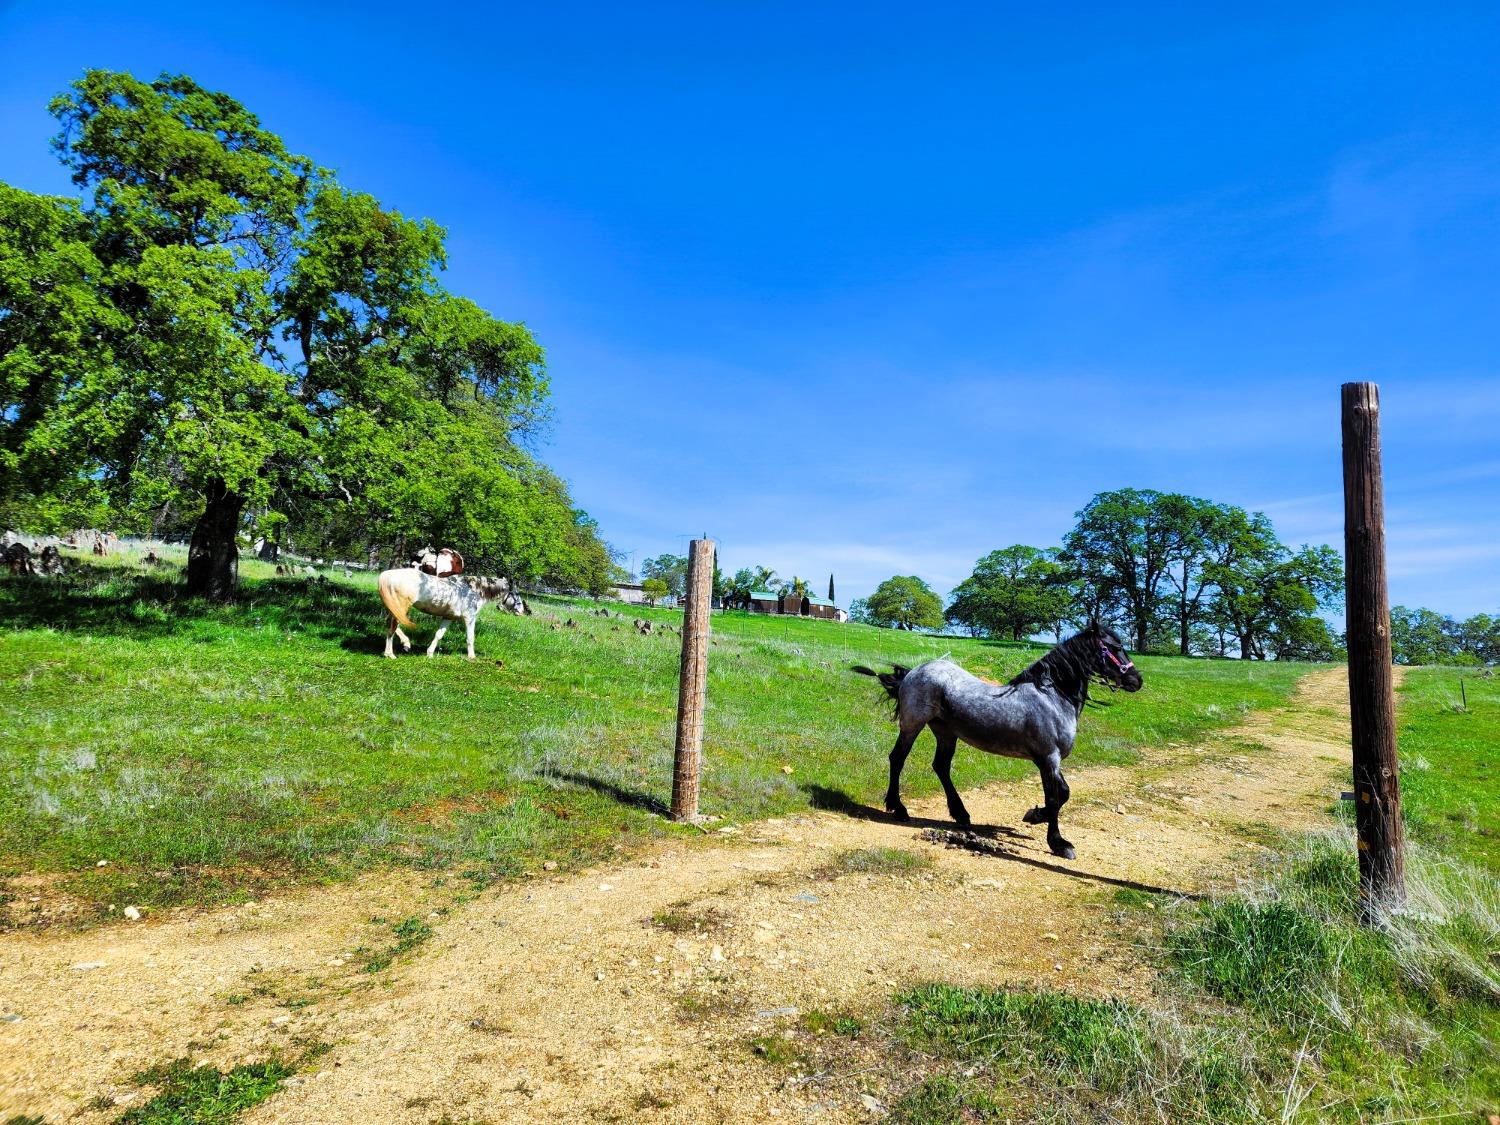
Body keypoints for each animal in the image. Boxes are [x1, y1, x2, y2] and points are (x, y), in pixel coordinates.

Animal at [378, 567, 531, 657]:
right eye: (516, 593)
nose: (521, 611)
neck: (475, 590)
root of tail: (388, 575)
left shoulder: (448, 617)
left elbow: (438, 635)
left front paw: (430, 653)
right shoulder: (470, 618)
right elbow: (470, 638)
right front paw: (472, 657)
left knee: (390, 624)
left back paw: (404, 645)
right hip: (401, 607)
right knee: (392, 627)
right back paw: (391, 653)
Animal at [852, 627, 1140, 864]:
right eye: (1114, 647)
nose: (1137, 680)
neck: (1051, 697)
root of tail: (912, 672)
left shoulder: (1051, 761)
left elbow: (1063, 794)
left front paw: (1034, 816)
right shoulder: (1048, 758)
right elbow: (1056, 797)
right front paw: (1058, 843)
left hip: (945, 732)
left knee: (941, 767)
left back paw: (961, 814)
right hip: (913, 725)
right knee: (898, 759)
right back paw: (898, 808)